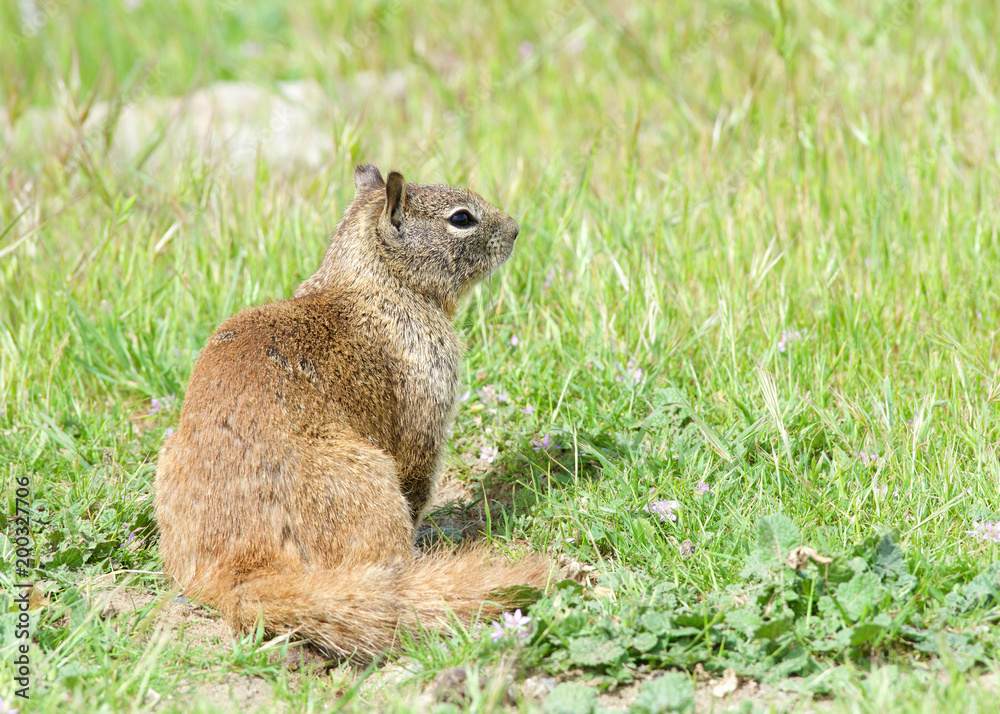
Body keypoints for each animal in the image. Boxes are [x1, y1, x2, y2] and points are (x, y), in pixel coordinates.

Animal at [154, 165, 550, 662]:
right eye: (461, 219)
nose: (516, 229)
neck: (373, 283)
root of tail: (238, 569)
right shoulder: (427, 410)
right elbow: (419, 481)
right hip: (370, 477)